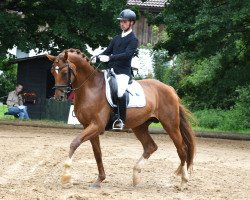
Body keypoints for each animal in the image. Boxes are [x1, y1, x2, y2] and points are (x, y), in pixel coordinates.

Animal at [46, 48, 195, 189]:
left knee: (182, 149)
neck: (90, 87)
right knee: (150, 146)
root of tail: (170, 89)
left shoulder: (97, 125)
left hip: (170, 124)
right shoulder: (89, 126)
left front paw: (66, 177)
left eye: (65, 72)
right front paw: (99, 180)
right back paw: (135, 176)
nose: (58, 97)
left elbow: (75, 143)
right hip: (139, 126)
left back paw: (183, 181)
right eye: (53, 72)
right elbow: (97, 153)